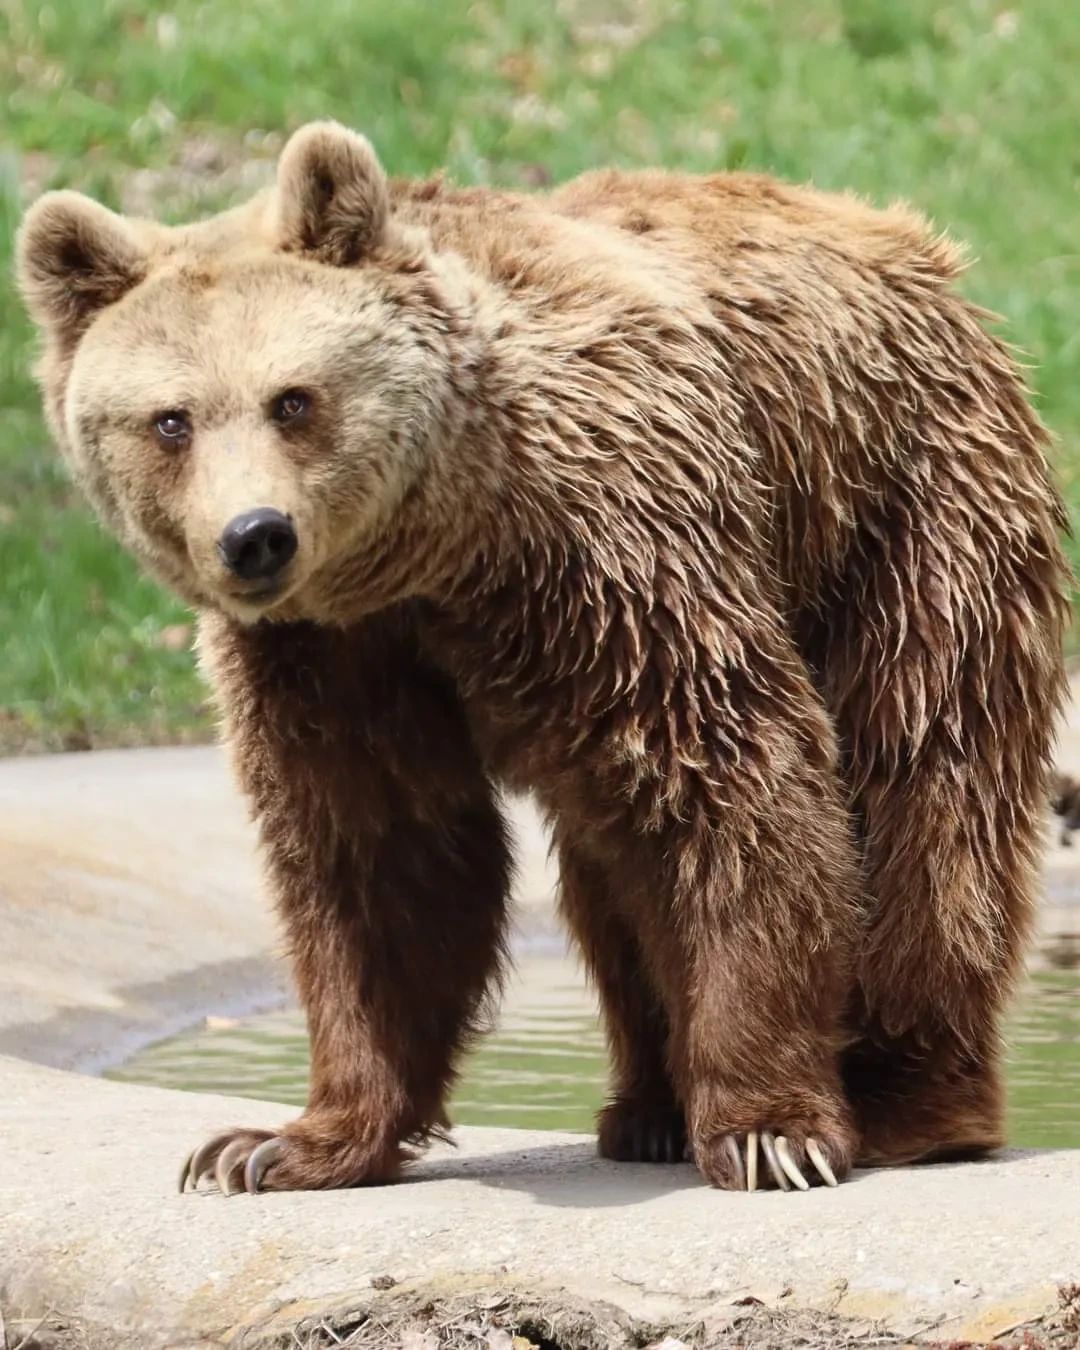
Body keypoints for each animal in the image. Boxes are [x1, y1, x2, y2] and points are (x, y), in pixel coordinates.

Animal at [16, 116, 1069, 1193]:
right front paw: (277, 1143)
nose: (255, 537)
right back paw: (647, 1110)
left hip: (898, 514)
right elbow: (379, 856)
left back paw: (911, 1103)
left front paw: (771, 1128)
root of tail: (916, 248)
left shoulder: (613, 547)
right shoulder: (333, 653)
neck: (440, 546)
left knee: (926, 797)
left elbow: (731, 779)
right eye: (170, 419)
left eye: (293, 400)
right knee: (612, 869)